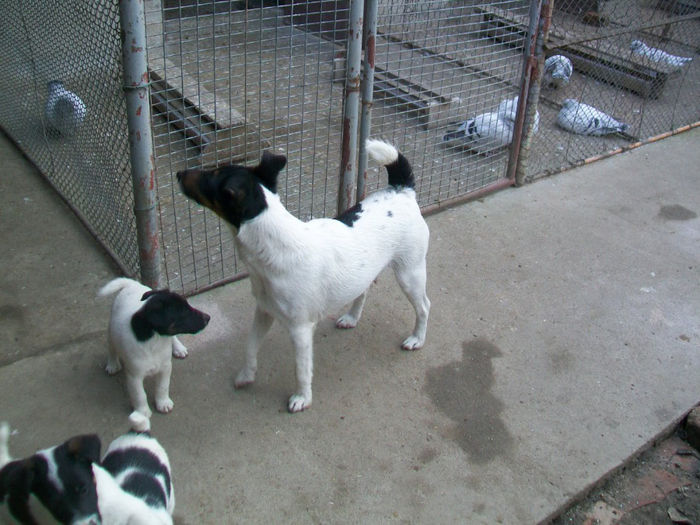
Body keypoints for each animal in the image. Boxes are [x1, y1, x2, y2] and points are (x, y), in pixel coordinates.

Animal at [98, 276, 209, 428]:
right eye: (184, 312)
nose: (208, 317)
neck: (156, 340)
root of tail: (132, 284)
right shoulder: (134, 376)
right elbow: (139, 395)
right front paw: (143, 412)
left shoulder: (166, 367)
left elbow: (163, 387)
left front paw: (163, 403)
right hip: (111, 330)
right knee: (111, 347)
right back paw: (112, 364)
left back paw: (178, 348)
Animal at [179, 139, 432, 414]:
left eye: (210, 176)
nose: (179, 174)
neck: (274, 246)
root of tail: (401, 190)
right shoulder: (263, 312)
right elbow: (250, 346)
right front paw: (247, 375)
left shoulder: (300, 330)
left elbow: (301, 370)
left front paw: (302, 398)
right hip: (367, 272)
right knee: (363, 291)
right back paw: (352, 318)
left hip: (410, 273)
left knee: (424, 307)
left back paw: (416, 339)